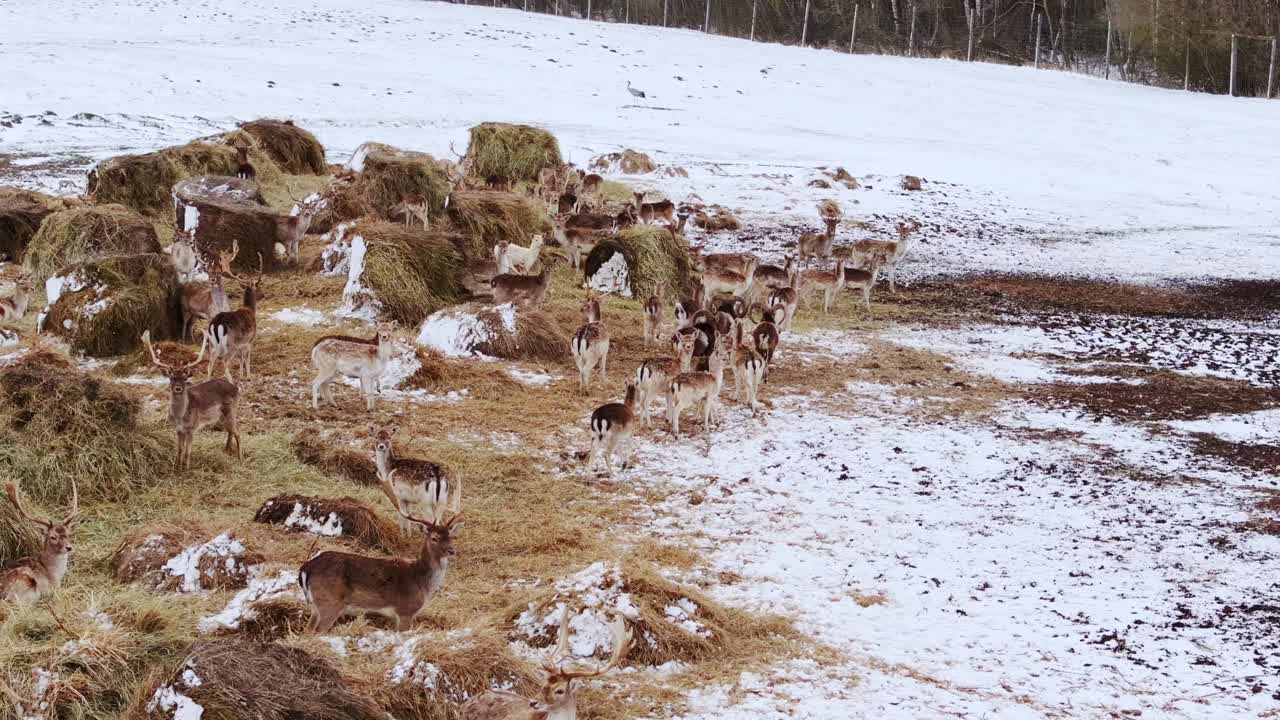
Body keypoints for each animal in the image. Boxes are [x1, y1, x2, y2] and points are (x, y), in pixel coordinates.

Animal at [142, 330, 242, 470]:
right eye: (171, 378)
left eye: (185, 378)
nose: (178, 388)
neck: (180, 417)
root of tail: (236, 388)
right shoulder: (178, 429)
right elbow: (180, 450)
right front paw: (177, 466)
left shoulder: (192, 428)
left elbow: (187, 451)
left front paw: (187, 467)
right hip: (222, 416)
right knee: (231, 431)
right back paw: (226, 450)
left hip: (231, 410)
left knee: (238, 433)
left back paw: (240, 458)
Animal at [206, 251, 263, 381]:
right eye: (258, 286)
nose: (263, 295)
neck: (250, 310)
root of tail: (215, 325)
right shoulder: (249, 340)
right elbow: (246, 358)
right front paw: (248, 376)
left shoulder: (241, 344)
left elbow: (241, 359)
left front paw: (242, 376)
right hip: (230, 343)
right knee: (224, 361)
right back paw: (230, 381)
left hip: (212, 343)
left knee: (210, 361)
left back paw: (207, 380)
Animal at [299, 473, 462, 633]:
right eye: (434, 538)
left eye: (451, 537)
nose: (451, 550)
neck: (422, 583)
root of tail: (305, 569)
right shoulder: (405, 610)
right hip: (330, 602)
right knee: (317, 631)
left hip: (316, 606)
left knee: (307, 630)